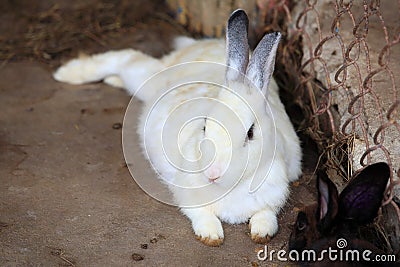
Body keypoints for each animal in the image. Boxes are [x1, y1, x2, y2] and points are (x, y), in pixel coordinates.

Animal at [54, 9, 304, 246]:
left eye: (250, 133)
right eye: (205, 126)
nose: (212, 174)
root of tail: (203, 44)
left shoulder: (274, 195)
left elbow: (266, 216)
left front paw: (261, 233)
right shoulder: (189, 196)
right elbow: (201, 215)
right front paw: (211, 235)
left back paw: (108, 80)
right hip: (146, 76)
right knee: (126, 58)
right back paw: (68, 73)